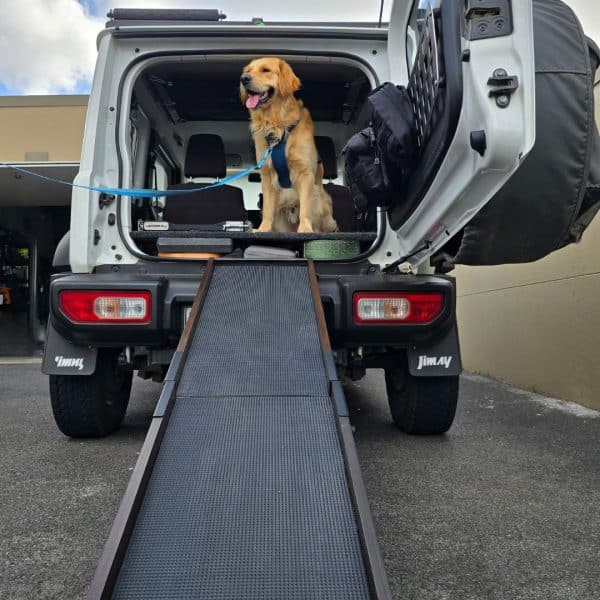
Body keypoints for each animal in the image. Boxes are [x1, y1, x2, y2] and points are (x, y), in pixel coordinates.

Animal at [240, 57, 338, 233]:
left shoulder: (305, 173)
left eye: (265, 70)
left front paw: (305, 228)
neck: (277, 123)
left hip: (322, 201)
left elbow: (305, 207)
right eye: (248, 71)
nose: (243, 79)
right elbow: (268, 209)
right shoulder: (266, 175)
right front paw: (263, 228)